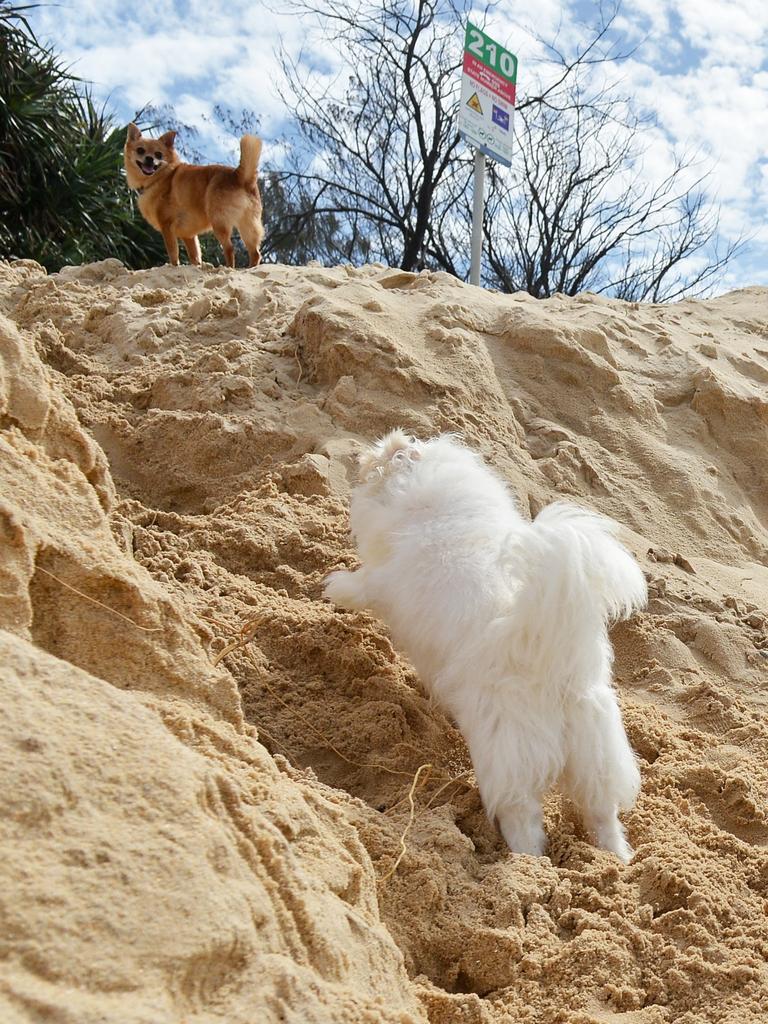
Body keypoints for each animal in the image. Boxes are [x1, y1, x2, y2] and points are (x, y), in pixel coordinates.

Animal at [121, 124, 264, 270]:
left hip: (219, 223)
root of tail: (240, 176)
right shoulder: (188, 235)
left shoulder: (167, 227)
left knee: (229, 248)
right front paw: (196, 267)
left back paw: (228, 268)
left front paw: (174, 267)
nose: (149, 158)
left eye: (158, 154)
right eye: (140, 150)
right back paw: (251, 268)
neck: (160, 178)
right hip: (247, 225)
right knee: (255, 252)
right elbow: (195, 256)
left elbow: (173, 253)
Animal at [325, 428, 651, 860]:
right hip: (595, 759)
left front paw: (333, 586)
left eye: (380, 457)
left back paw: (526, 864)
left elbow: (361, 585)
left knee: (524, 824)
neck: (430, 504)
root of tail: (554, 676)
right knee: (603, 817)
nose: (363, 455)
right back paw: (618, 859)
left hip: (506, 761)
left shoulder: (385, 581)